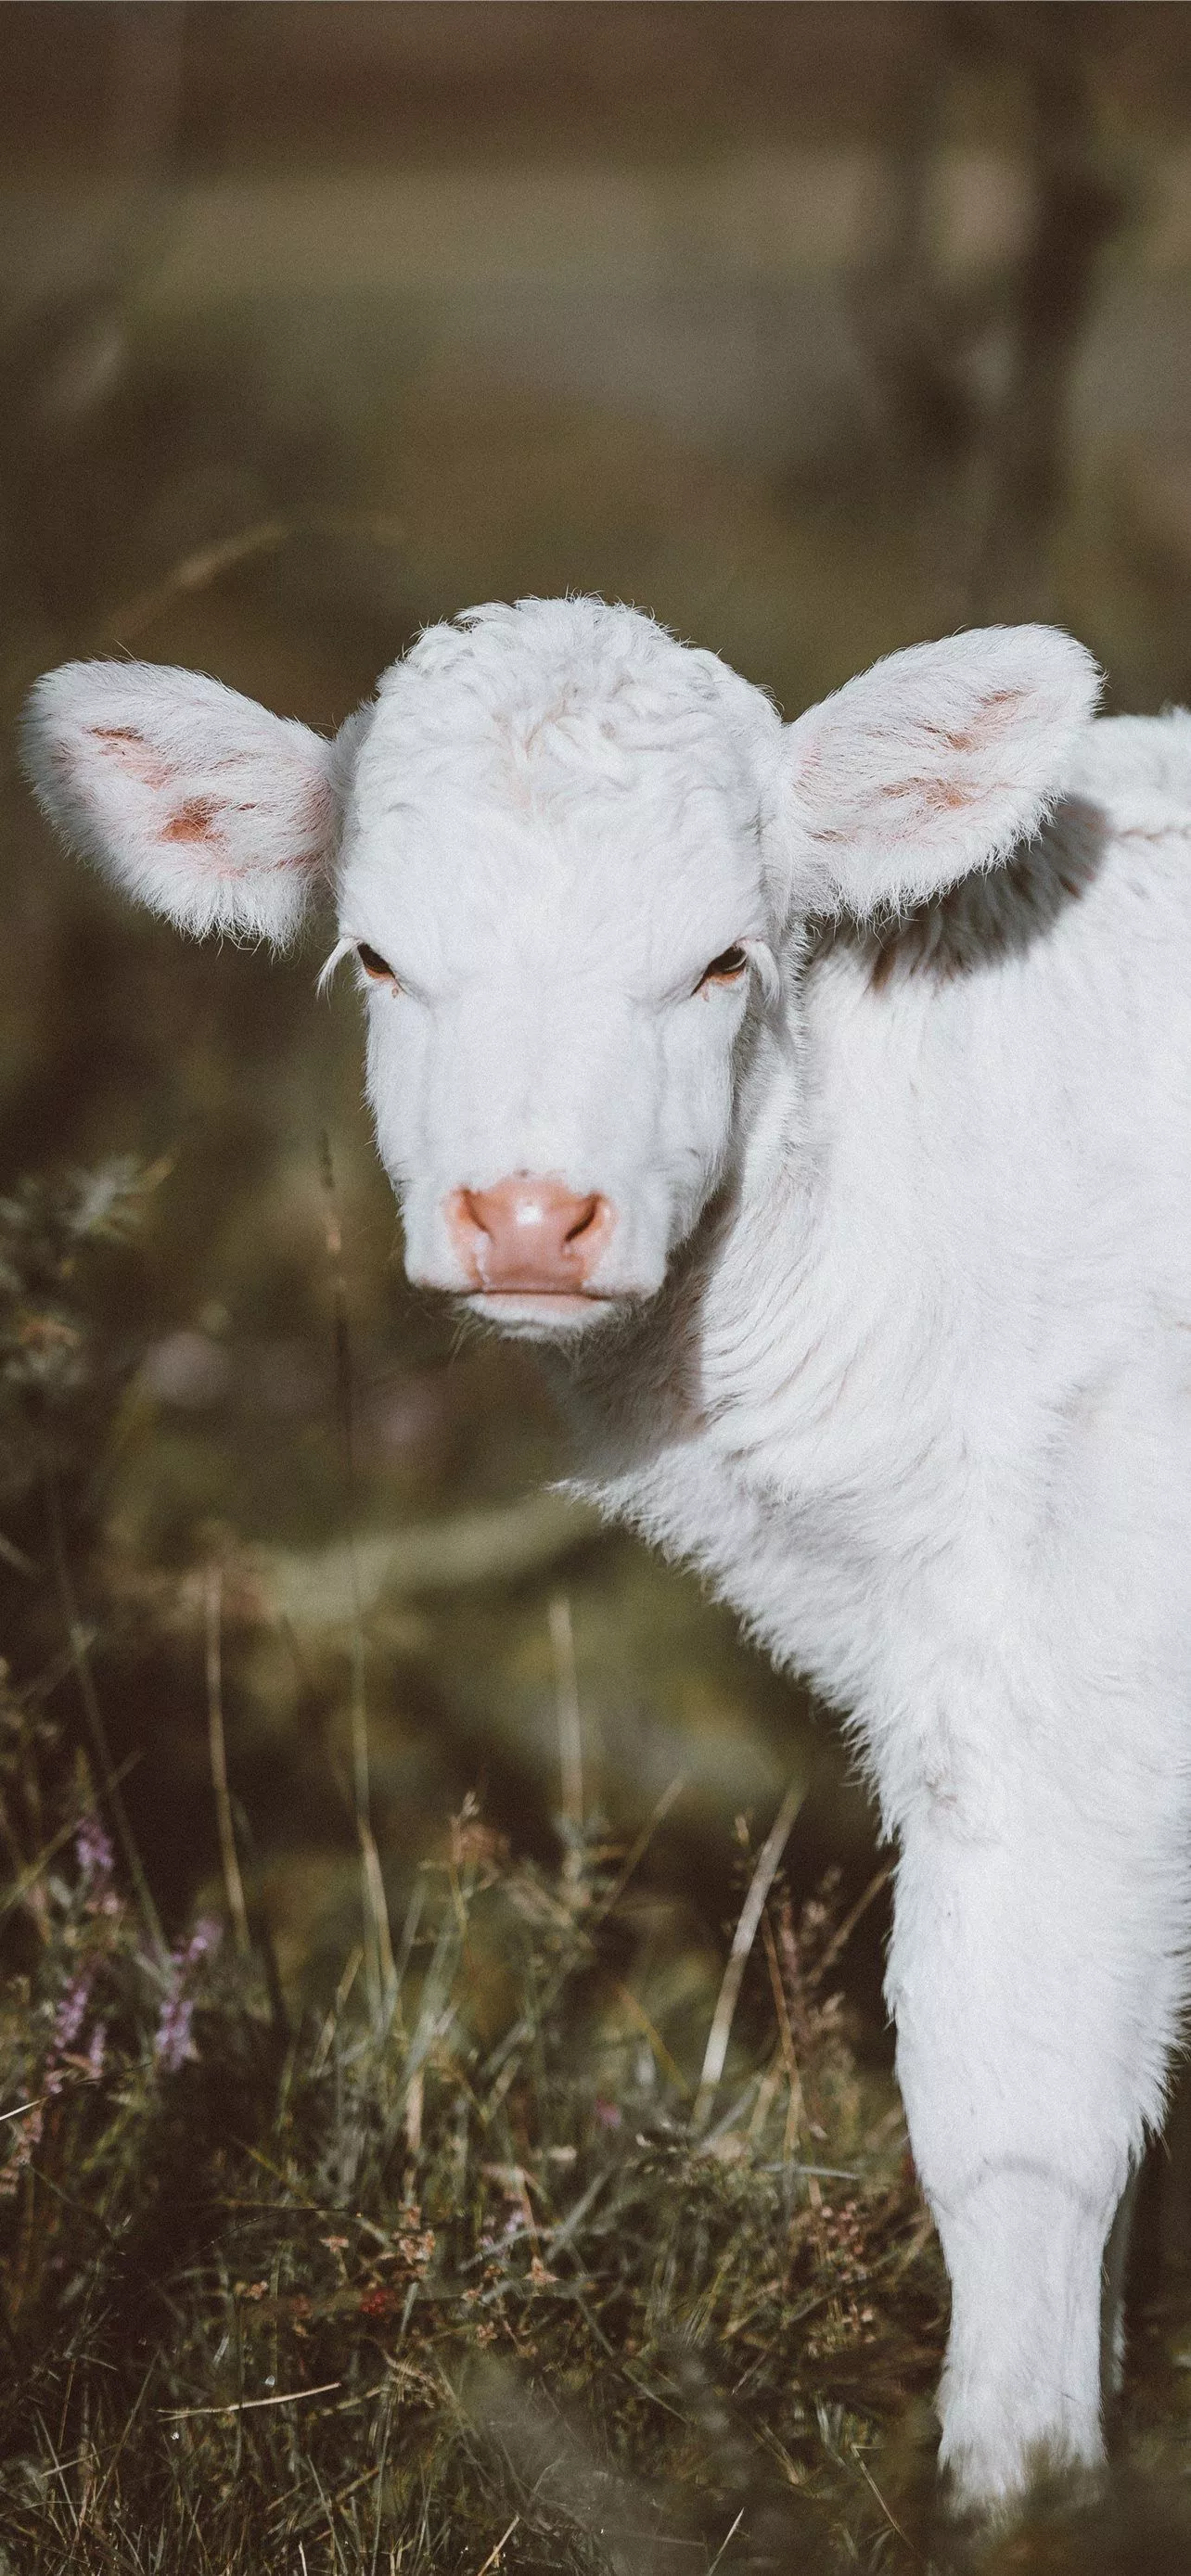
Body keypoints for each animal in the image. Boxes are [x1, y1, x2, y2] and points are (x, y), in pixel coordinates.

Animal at [22, 596, 1191, 2513]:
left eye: (722, 960)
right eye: (376, 957)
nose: (524, 1214)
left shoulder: (1061, 1668)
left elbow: (1012, 2095)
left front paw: (1014, 2497)